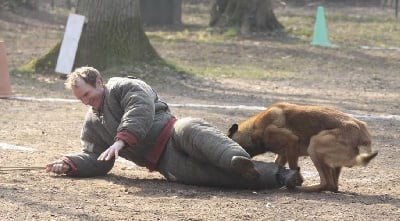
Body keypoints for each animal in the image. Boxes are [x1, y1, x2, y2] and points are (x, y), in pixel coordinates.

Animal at [228, 102, 378, 192]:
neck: (254, 129)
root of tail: (363, 133)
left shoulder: (291, 143)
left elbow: (293, 167)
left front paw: (294, 181)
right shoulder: (284, 153)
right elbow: (279, 163)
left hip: (314, 145)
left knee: (327, 184)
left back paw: (302, 188)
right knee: (334, 186)